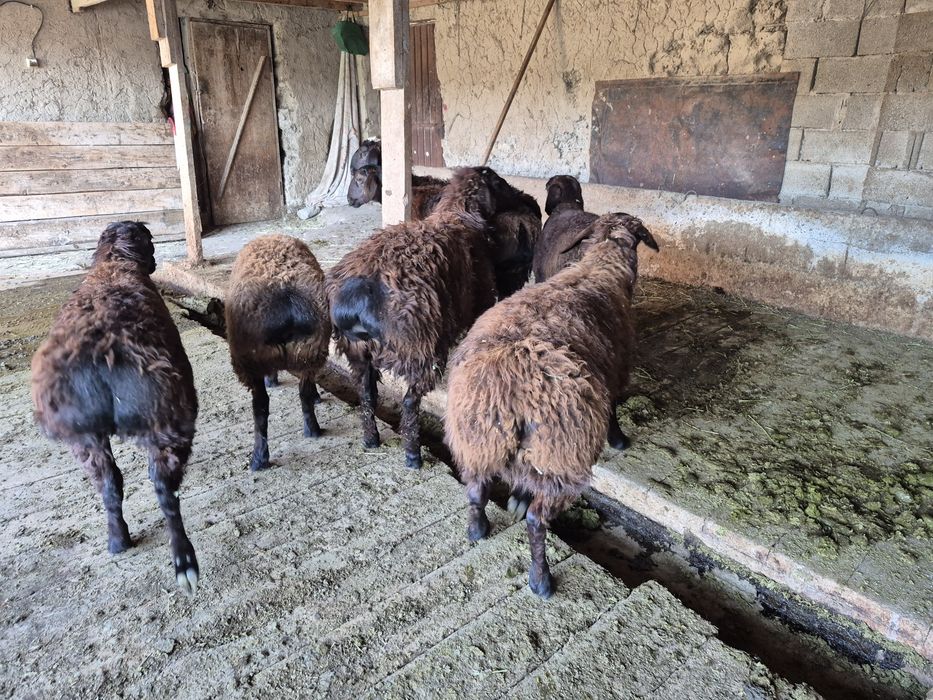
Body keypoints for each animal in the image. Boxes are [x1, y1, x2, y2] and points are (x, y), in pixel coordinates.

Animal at [31, 222, 200, 594]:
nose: (155, 261)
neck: (114, 263)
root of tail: (102, 353)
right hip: (167, 415)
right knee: (164, 491)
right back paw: (184, 562)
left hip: (85, 438)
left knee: (109, 484)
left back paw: (118, 540)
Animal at [225, 234, 331, 471]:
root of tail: (286, 296)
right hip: (310, 352)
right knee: (304, 392)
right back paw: (313, 429)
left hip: (250, 362)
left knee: (261, 407)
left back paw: (259, 459)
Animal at [326, 166, 507, 469]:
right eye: (496, 181)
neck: (458, 214)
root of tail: (356, 297)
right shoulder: (480, 303)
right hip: (418, 350)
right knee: (410, 401)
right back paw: (412, 454)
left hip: (357, 352)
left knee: (366, 394)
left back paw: (371, 439)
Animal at [445, 213, 659, 598]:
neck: (600, 267)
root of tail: (507, 383)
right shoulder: (617, 373)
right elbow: (614, 410)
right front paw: (620, 441)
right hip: (560, 457)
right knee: (536, 519)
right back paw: (541, 580)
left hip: (479, 442)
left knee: (476, 489)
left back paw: (478, 530)